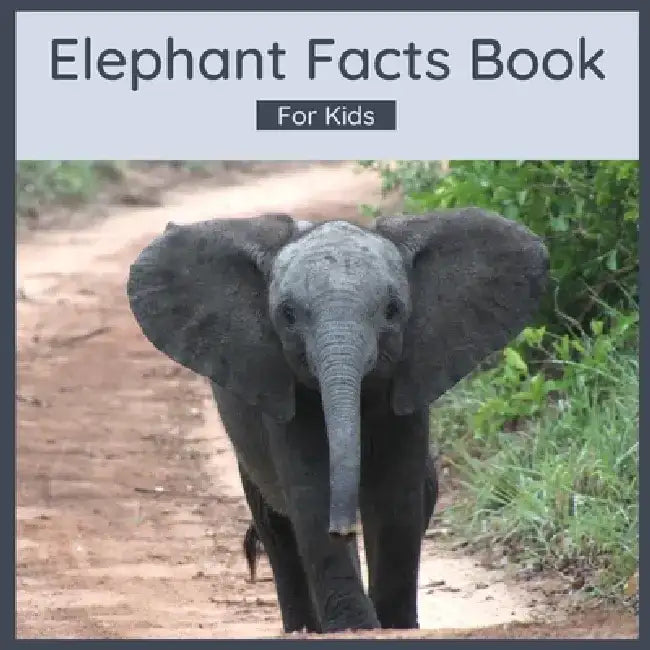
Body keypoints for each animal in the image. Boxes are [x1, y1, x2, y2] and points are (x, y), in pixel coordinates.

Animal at [127, 209, 549, 633]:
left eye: (393, 310)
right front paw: (355, 627)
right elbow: (312, 490)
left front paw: (395, 626)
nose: (343, 529)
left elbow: (396, 494)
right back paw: (303, 628)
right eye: (288, 315)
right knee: (274, 525)